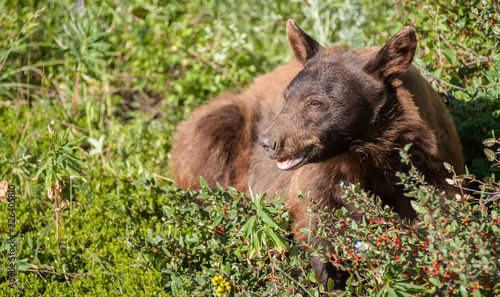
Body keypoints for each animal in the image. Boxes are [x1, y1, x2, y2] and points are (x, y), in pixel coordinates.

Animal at [170, 20, 462, 286]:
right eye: (287, 96)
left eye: (315, 102)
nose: (268, 142)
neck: (365, 153)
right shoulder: (322, 173)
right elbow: (315, 215)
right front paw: (330, 273)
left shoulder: (427, 164)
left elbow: (438, 212)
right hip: (227, 124)